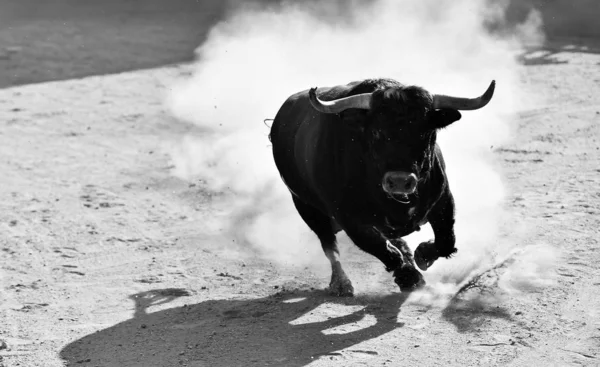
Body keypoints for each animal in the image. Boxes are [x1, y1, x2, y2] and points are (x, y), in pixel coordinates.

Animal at [270, 78, 494, 296]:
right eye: (377, 131)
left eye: (425, 132)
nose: (400, 181)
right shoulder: (349, 218)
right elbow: (382, 250)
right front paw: (407, 273)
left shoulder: (443, 200)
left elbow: (446, 240)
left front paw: (422, 255)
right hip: (306, 206)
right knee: (330, 246)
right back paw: (341, 283)